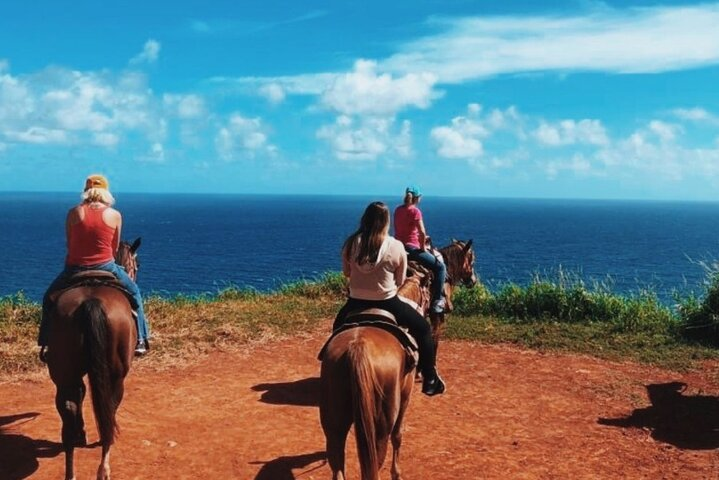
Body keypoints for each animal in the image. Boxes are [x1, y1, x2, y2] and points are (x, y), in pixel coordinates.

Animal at [45, 239, 142, 480]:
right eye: (138, 265)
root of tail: (92, 300)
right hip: (116, 376)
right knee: (110, 407)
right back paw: (104, 467)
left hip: (65, 371)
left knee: (69, 412)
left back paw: (71, 470)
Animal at [320, 270, 428, 480]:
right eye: (428, 294)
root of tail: (357, 347)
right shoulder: (406, 394)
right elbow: (398, 435)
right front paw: (397, 473)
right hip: (380, 429)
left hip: (333, 424)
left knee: (337, 464)